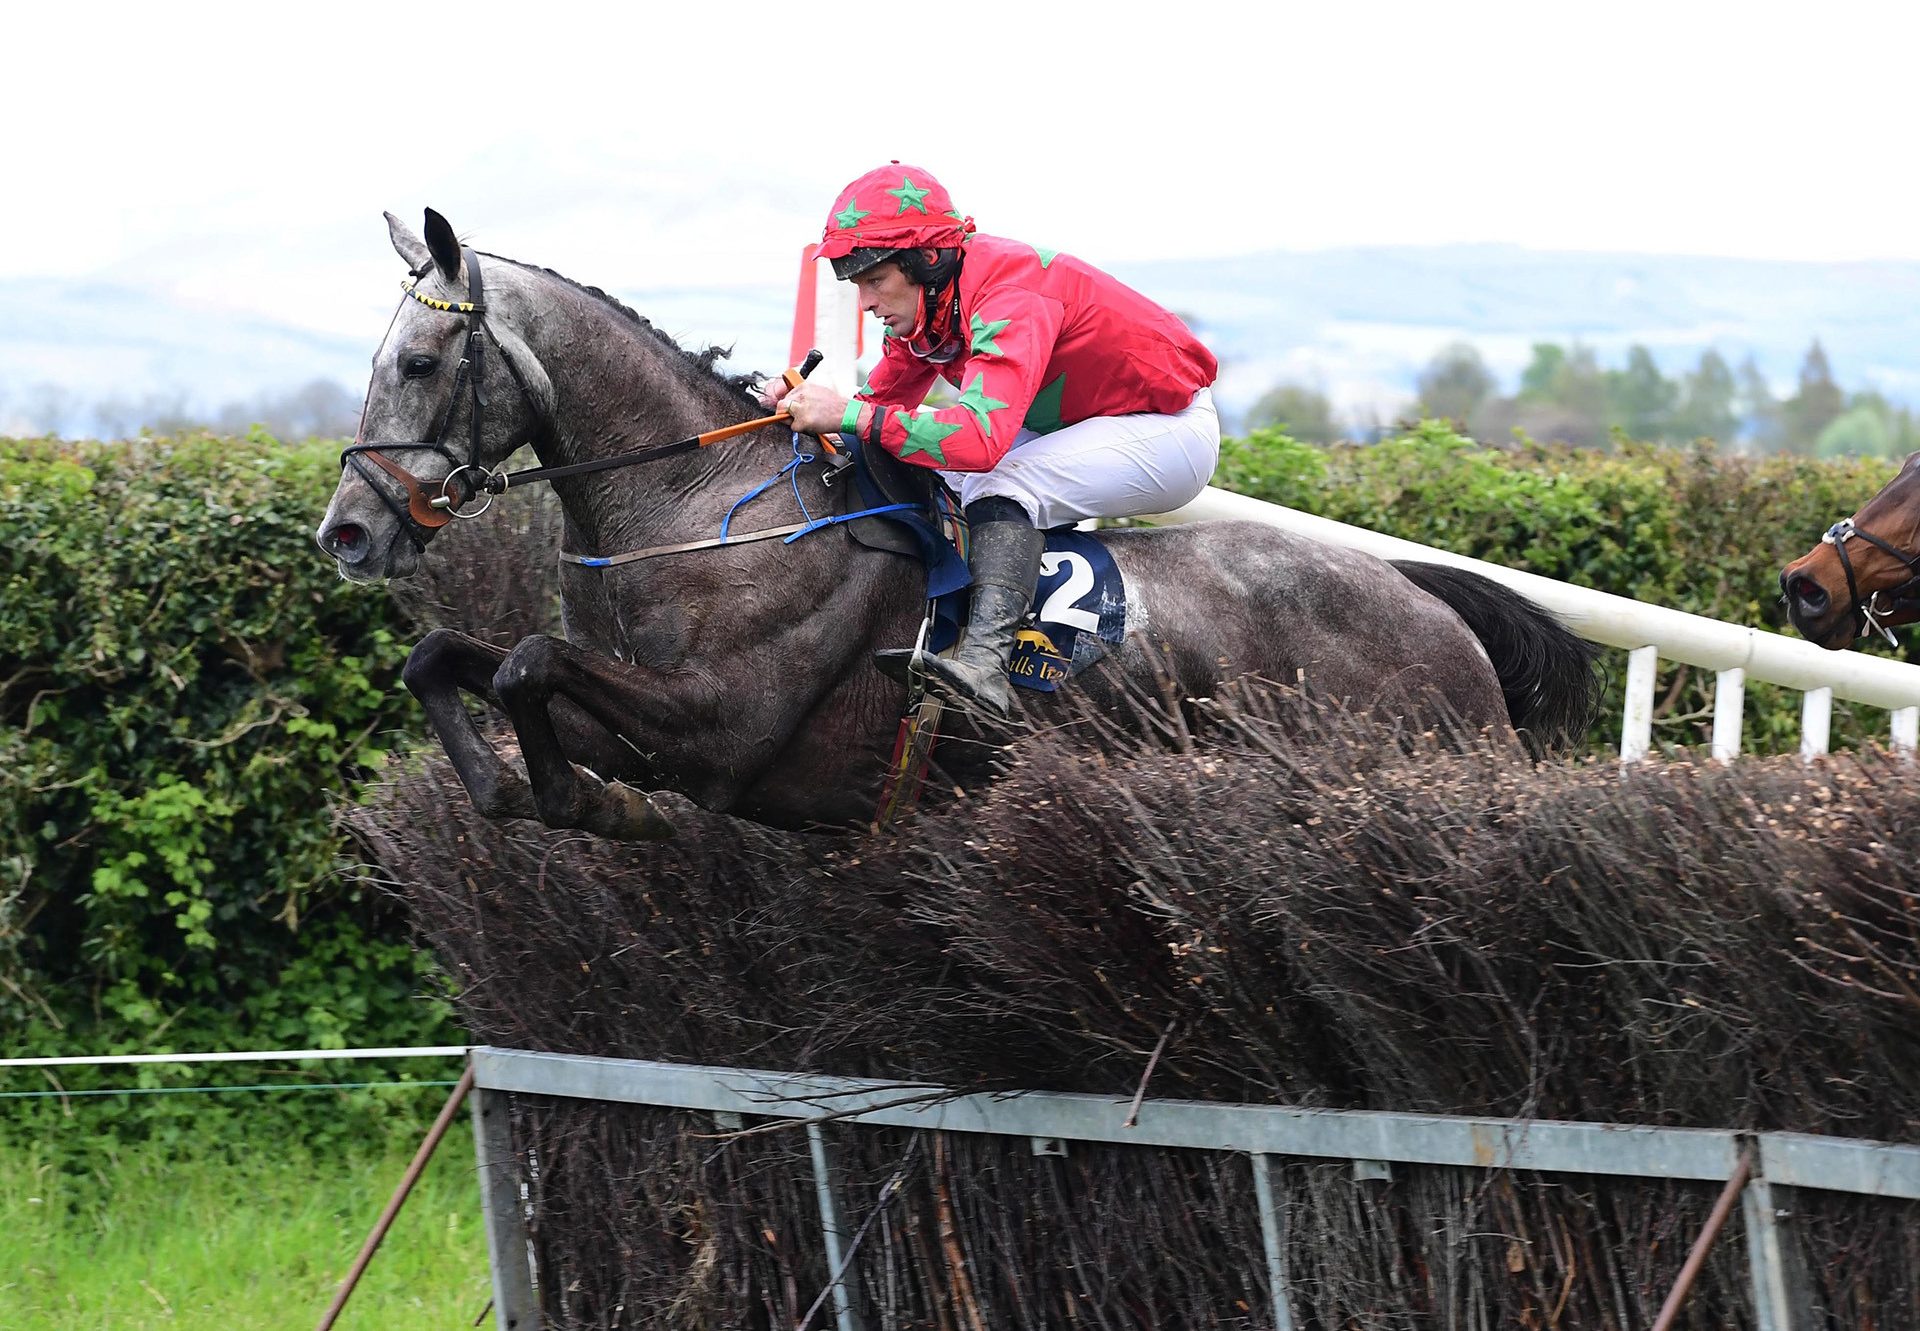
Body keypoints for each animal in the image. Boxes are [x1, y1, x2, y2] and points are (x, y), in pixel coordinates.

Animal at [314, 209, 1597, 837]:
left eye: (419, 361)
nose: (347, 533)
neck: (699, 513)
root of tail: (1431, 601)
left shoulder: (722, 730)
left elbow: (527, 660)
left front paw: (580, 800)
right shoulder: (653, 721)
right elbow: (455, 655)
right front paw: (526, 790)